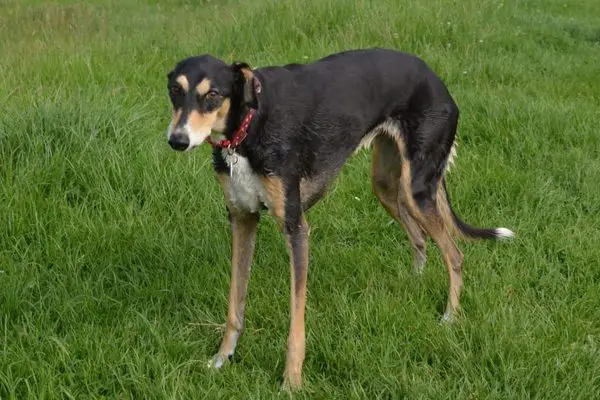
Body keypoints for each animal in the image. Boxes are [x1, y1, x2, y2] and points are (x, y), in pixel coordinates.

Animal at [163, 47, 510, 390]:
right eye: (175, 90)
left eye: (213, 95)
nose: (177, 140)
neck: (250, 124)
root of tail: (436, 79)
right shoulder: (242, 219)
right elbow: (235, 304)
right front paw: (223, 358)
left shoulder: (295, 227)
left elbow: (296, 322)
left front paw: (291, 383)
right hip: (387, 186)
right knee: (420, 237)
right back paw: (414, 283)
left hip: (418, 189)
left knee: (455, 255)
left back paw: (450, 318)